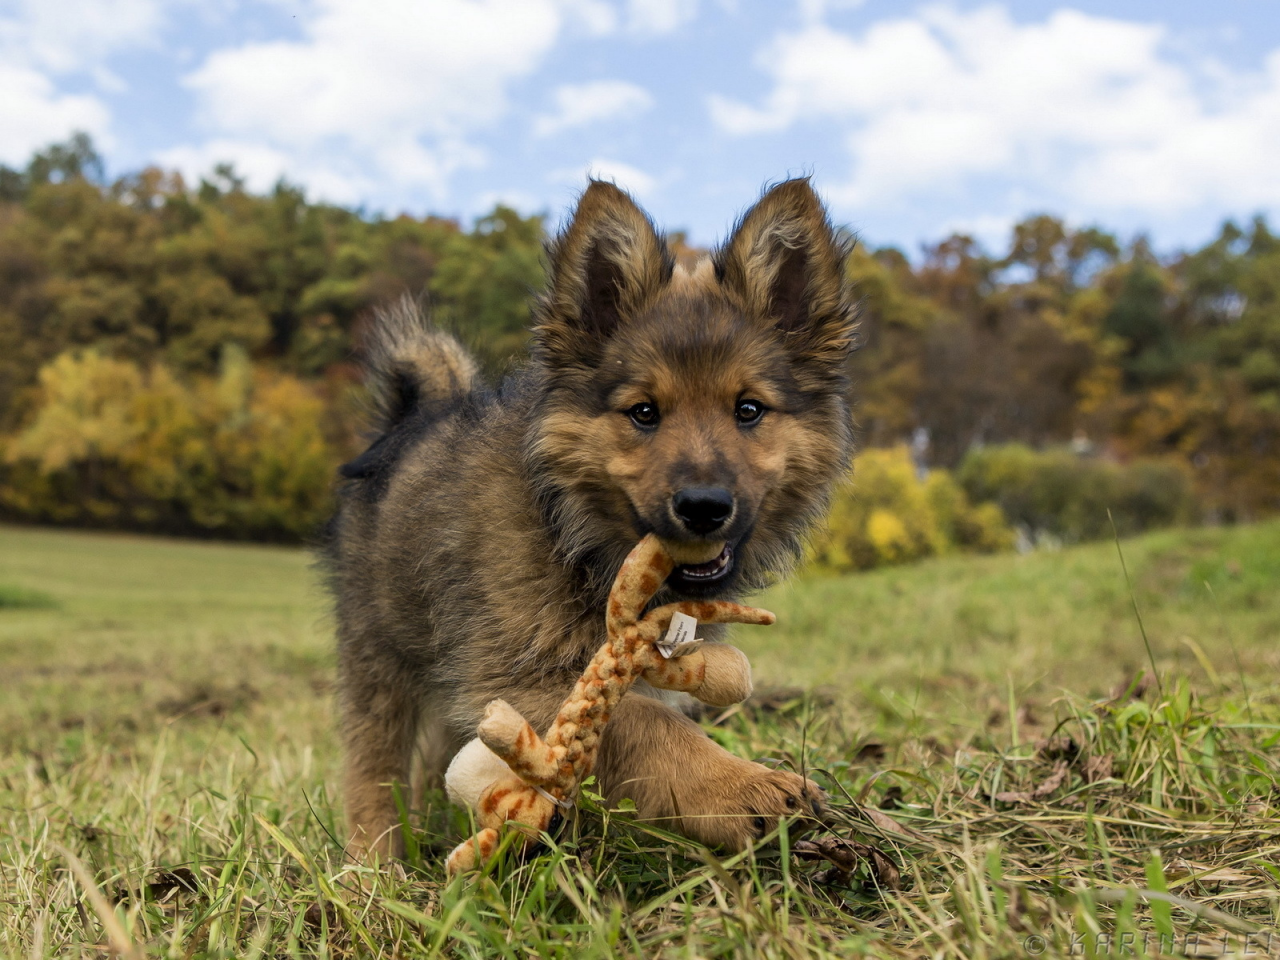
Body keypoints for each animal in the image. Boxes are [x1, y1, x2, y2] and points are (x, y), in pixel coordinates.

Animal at [325, 179, 855, 865]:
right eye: (644, 412)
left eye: (749, 409)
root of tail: (408, 419)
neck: (574, 531)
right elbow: (645, 724)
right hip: (378, 655)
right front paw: (742, 787)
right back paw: (374, 862)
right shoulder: (518, 671)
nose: (704, 506)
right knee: (374, 766)